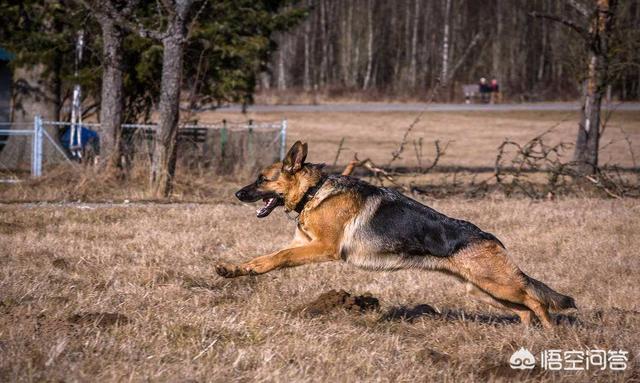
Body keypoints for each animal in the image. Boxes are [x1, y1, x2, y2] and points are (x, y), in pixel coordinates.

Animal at [218, 141, 576, 328]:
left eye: (262, 179)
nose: (236, 194)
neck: (314, 191)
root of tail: (490, 237)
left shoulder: (320, 248)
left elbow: (277, 258)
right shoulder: (302, 244)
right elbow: (265, 257)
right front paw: (235, 269)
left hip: (499, 285)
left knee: (536, 300)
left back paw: (550, 335)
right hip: (484, 290)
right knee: (525, 308)